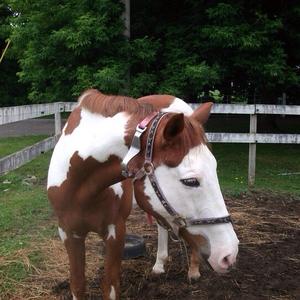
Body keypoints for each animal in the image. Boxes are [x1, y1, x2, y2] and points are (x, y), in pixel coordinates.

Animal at [47, 89, 239, 300]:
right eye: (190, 181)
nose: (229, 254)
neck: (81, 187)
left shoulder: (116, 231)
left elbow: (110, 286)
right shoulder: (68, 233)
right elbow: (78, 284)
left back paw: (193, 270)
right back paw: (159, 265)